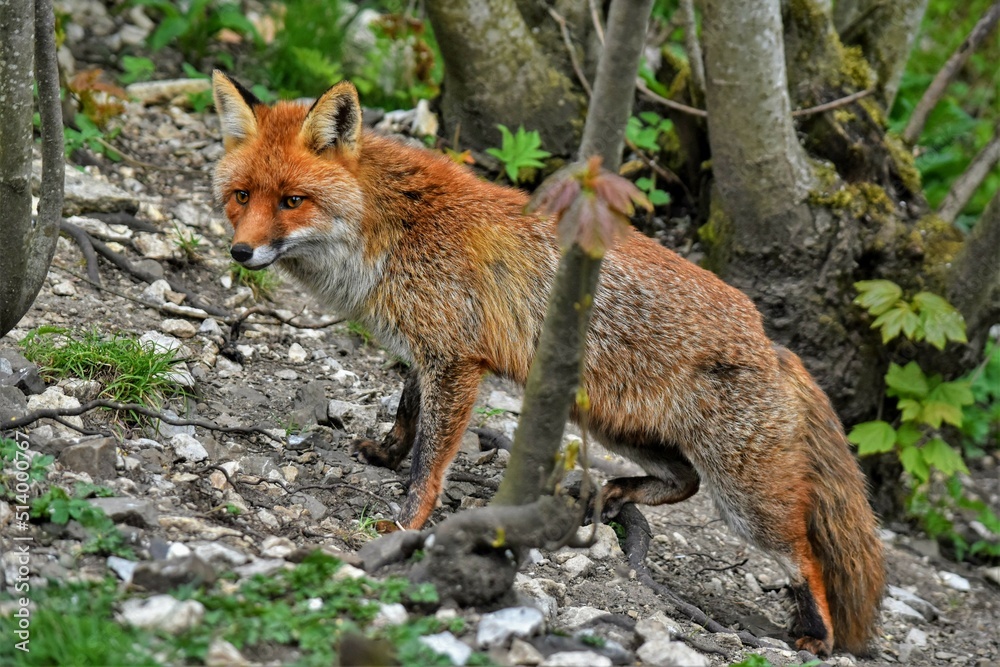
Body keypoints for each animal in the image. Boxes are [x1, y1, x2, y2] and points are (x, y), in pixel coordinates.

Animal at [211, 71, 885, 657]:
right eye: (242, 197)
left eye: (293, 201)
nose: (241, 252)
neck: (392, 227)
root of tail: (772, 343)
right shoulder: (432, 350)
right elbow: (407, 413)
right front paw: (384, 454)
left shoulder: (457, 360)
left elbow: (431, 459)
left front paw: (404, 523)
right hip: (621, 428)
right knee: (684, 481)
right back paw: (617, 493)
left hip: (745, 497)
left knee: (804, 554)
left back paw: (815, 634)